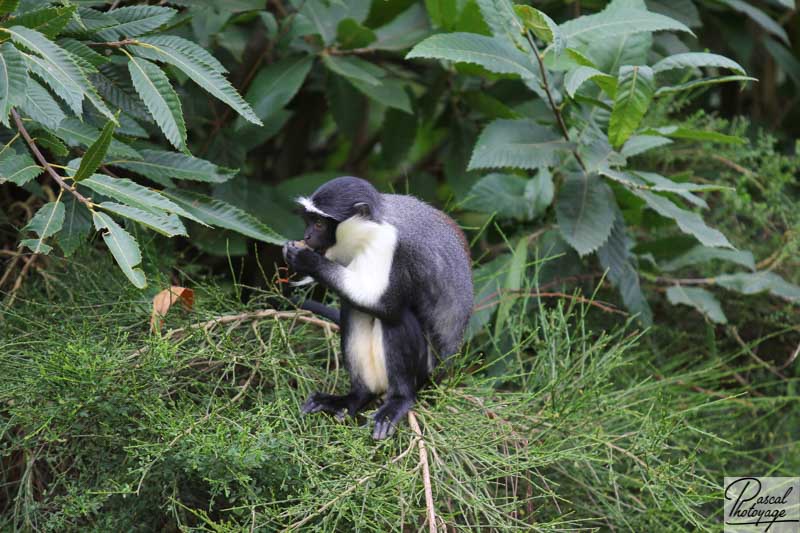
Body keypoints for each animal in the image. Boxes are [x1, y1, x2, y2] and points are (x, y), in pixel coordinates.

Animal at [282, 177, 472, 438]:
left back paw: (399, 400)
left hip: (424, 372)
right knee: (354, 308)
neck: (372, 226)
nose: (307, 235)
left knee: (395, 318)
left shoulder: (390, 246)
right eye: (308, 222)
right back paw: (356, 397)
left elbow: (386, 304)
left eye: (319, 224)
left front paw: (307, 261)